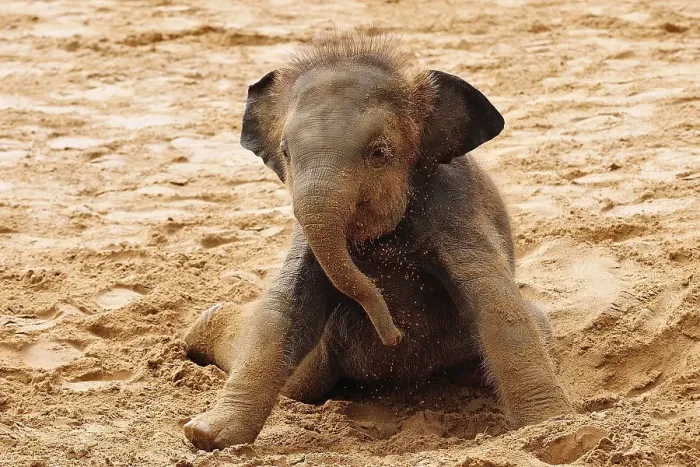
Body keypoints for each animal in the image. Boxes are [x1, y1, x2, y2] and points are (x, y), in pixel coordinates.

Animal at [182, 29, 573, 451]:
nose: (394, 335)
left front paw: (554, 427)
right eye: (285, 152)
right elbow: (286, 304)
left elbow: (494, 298)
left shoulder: (456, 205)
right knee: (302, 382)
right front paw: (206, 437)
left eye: (379, 152)